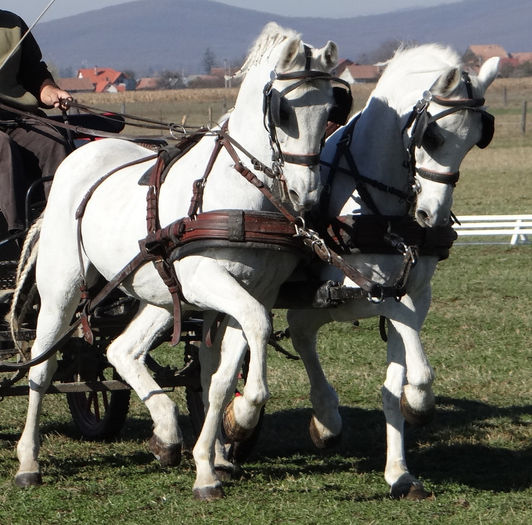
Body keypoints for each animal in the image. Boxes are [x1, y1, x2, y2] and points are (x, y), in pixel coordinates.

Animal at [13, 22, 350, 498]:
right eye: (283, 110)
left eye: (330, 110)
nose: (308, 195)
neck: (239, 192)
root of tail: (74, 160)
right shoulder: (209, 282)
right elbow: (252, 337)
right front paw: (244, 418)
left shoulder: (255, 292)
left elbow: (222, 374)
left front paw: (215, 458)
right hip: (61, 289)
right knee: (44, 366)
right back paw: (28, 460)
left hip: (156, 292)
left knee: (120, 350)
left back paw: (169, 434)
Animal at [282, 44, 498, 496]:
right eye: (432, 135)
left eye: (477, 138)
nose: (431, 216)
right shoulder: (355, 291)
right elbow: (405, 339)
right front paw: (420, 399)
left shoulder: (416, 291)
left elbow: (394, 378)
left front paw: (399, 469)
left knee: (300, 327)